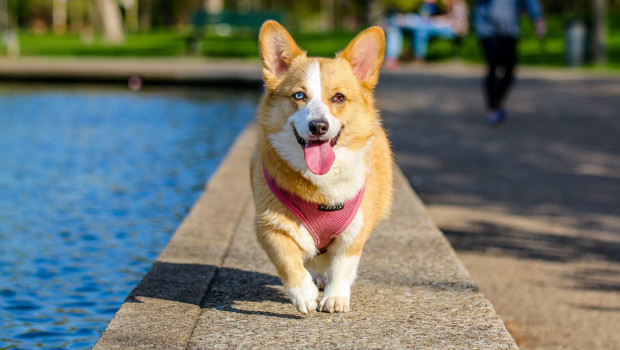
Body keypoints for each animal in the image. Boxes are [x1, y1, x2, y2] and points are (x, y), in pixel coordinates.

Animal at [251, 20, 392, 314]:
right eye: (299, 95)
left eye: (338, 97)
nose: (318, 126)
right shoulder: (269, 225)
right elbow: (288, 260)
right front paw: (303, 294)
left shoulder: (355, 231)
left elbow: (342, 266)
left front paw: (335, 298)